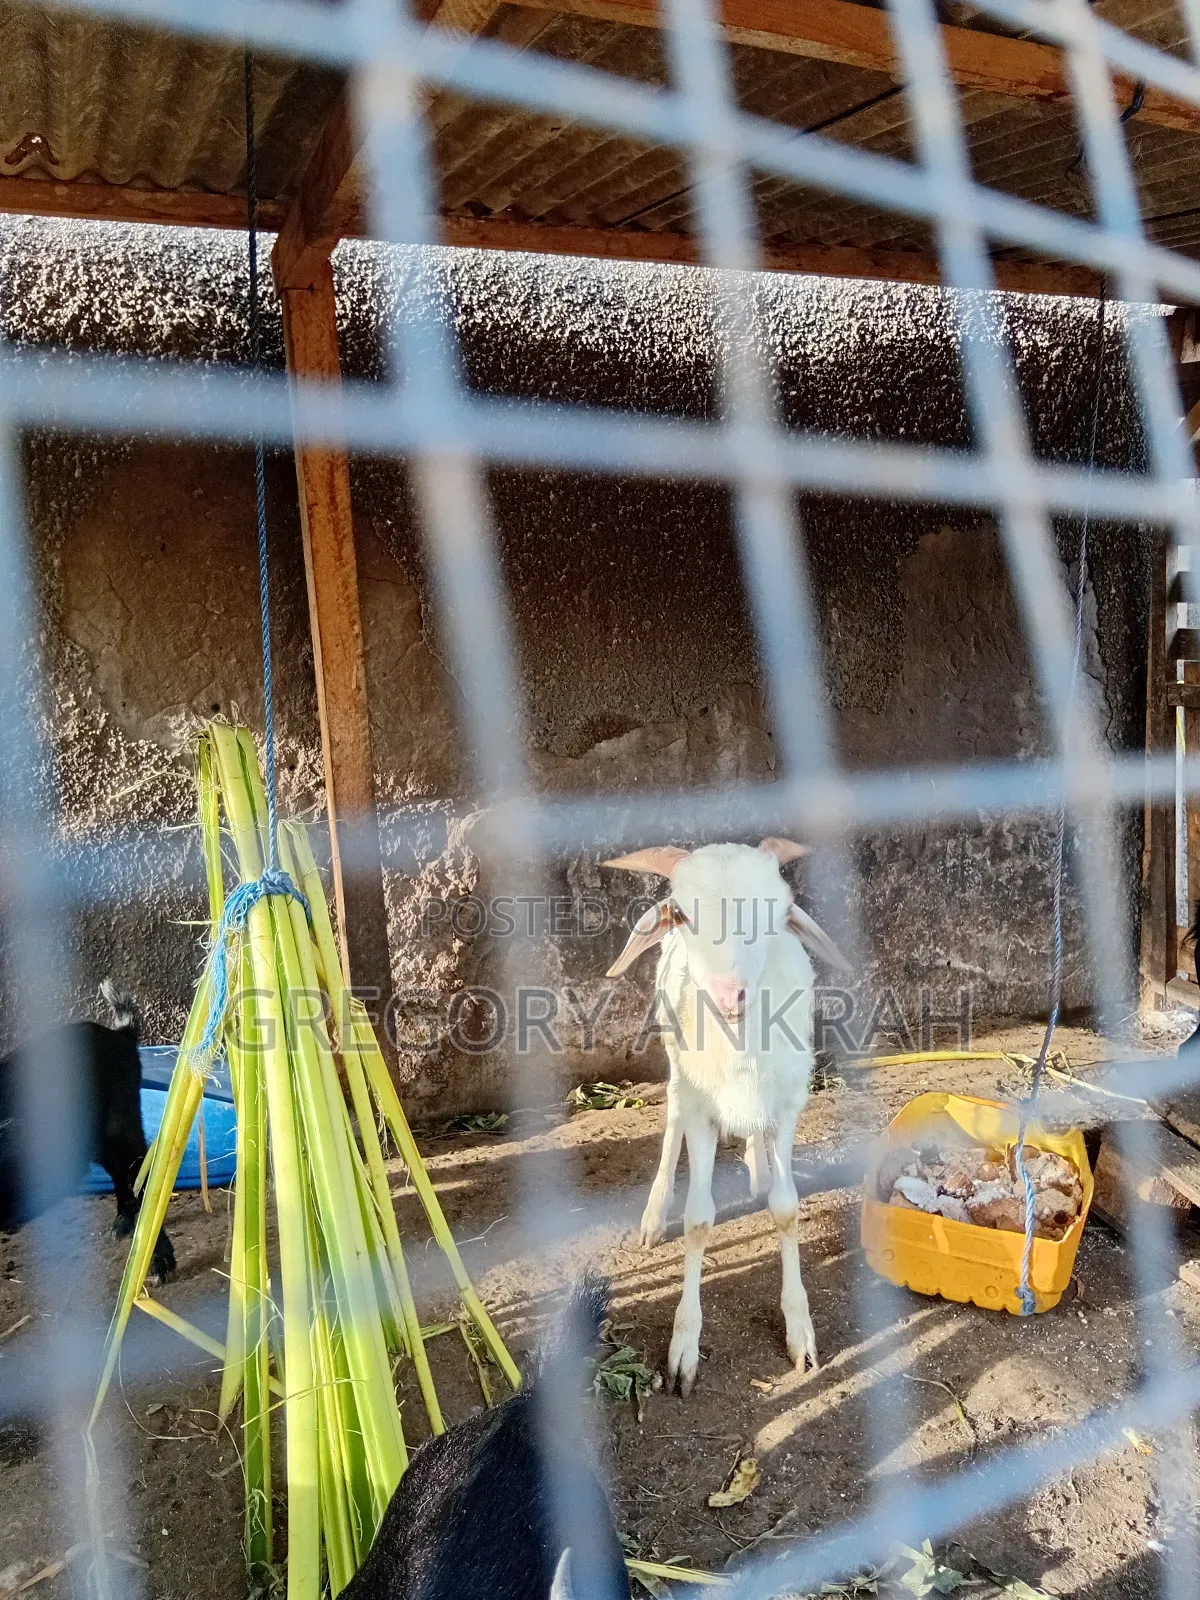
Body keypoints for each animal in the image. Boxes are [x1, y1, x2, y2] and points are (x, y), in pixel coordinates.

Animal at [605, 839, 850, 1395]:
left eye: (779, 912)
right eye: (681, 914)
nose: (729, 994)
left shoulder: (787, 1103)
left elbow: (786, 1209)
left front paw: (801, 1335)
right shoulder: (701, 1109)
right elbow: (698, 1220)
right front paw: (684, 1347)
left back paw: (757, 1168)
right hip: (678, 1067)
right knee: (671, 1117)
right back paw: (654, 1214)